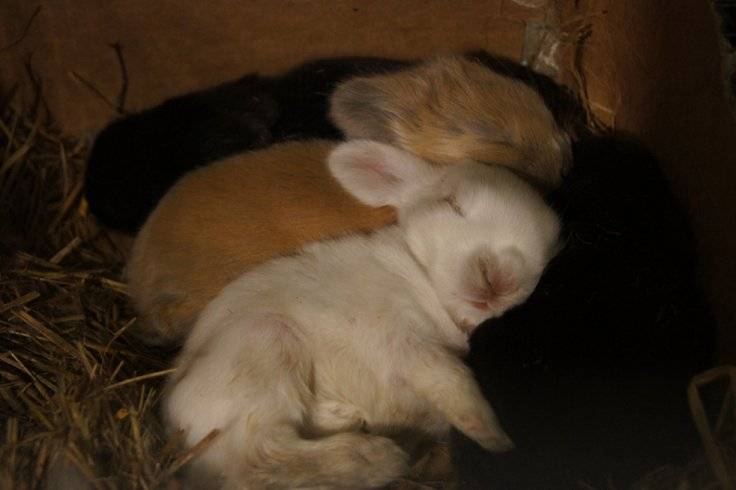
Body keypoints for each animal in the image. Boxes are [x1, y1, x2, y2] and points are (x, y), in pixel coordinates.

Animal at [164, 140, 560, 488]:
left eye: (547, 254)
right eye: (452, 203)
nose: (499, 278)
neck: (425, 283)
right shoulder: (403, 340)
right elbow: (453, 380)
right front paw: (496, 436)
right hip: (263, 345)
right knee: (258, 458)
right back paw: (380, 457)